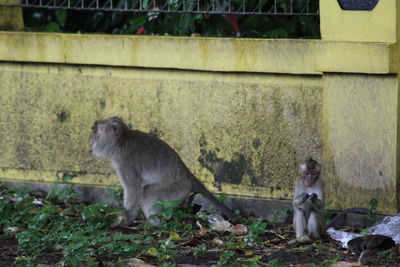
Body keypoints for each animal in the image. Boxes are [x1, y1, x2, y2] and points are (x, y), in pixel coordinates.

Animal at [91, 116, 234, 225]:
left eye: (98, 131)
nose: (92, 139)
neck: (122, 140)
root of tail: (187, 174)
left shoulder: (124, 161)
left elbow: (133, 188)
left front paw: (126, 218)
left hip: (177, 189)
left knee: (148, 192)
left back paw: (155, 224)